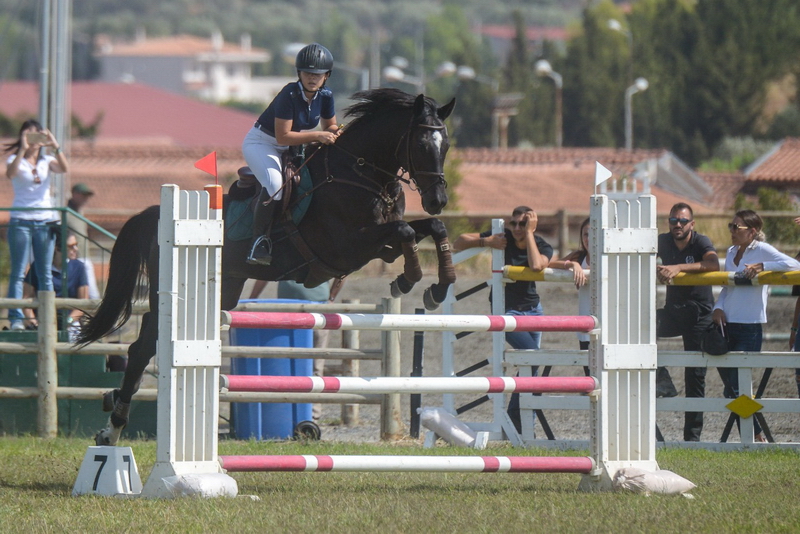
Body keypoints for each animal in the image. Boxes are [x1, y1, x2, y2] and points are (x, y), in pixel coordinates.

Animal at [79, 89, 460, 448]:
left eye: (446, 145)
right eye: (421, 144)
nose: (437, 200)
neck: (359, 174)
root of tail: (156, 214)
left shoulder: (379, 245)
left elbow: (431, 228)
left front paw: (437, 287)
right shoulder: (350, 247)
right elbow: (407, 231)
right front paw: (409, 280)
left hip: (224, 291)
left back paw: (112, 414)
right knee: (141, 348)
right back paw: (112, 429)